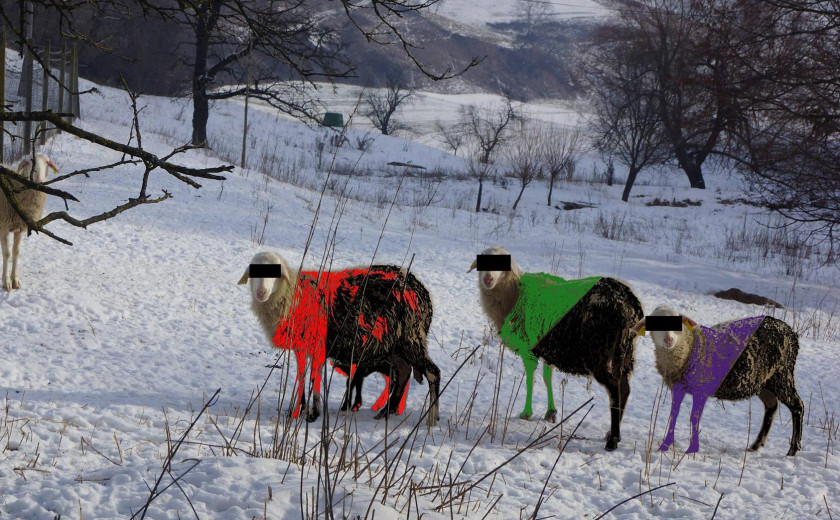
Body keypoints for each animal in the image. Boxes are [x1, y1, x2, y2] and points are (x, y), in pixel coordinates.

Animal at [0, 153, 58, 291]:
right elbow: (7, 253)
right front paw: (6, 282)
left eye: (47, 162)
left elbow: (16, 252)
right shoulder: (4, 227)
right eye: (30, 161)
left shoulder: (19, 227)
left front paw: (15, 280)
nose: (38, 178)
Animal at [240, 251, 440, 425]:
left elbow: (314, 379)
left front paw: (314, 414)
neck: (293, 296)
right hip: (396, 345)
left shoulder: (317, 345)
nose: (261, 292)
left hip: (411, 338)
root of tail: (424, 292)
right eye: (253, 271)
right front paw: (298, 409)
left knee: (433, 372)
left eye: (276, 271)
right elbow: (301, 376)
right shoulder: (301, 347)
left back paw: (431, 419)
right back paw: (386, 412)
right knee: (404, 371)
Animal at [470, 246, 644, 451]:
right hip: (625, 351)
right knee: (624, 388)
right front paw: (551, 412)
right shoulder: (549, 349)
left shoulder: (529, 348)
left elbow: (530, 379)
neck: (514, 295)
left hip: (599, 353)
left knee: (615, 389)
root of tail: (629, 302)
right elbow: (547, 378)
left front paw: (526, 413)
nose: (488, 279)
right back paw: (612, 433)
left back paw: (613, 440)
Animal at [632, 305, 803, 455]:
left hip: (782, 375)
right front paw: (665, 445)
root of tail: (791, 333)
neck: (688, 347)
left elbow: (694, 417)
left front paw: (692, 449)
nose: (668, 339)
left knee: (797, 406)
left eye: (678, 322)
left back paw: (793, 449)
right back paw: (756, 445)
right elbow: (673, 414)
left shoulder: (701, 389)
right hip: (764, 381)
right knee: (772, 406)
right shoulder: (678, 387)